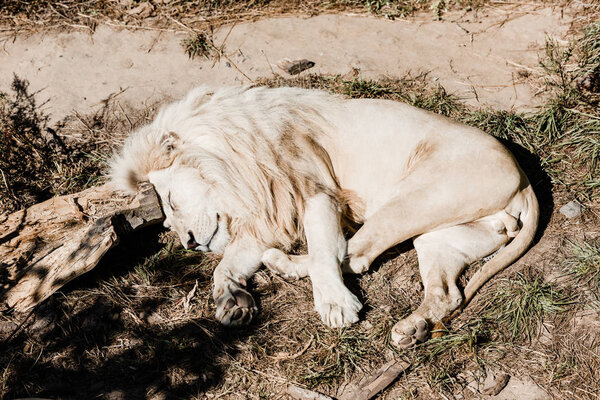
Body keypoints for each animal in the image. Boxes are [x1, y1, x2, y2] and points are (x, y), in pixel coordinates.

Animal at [109, 86, 540, 346]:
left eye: (172, 202)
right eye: (166, 222)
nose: (189, 244)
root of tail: (525, 182)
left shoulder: (315, 191)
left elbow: (322, 250)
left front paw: (334, 306)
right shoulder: (268, 212)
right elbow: (227, 264)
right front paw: (232, 300)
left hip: (414, 195)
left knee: (355, 254)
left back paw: (284, 265)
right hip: (440, 235)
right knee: (445, 292)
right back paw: (412, 329)